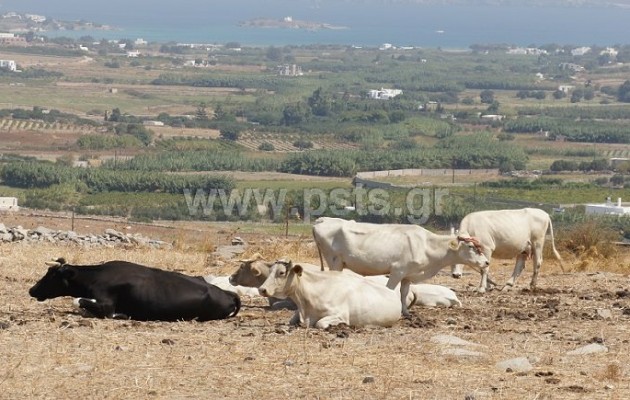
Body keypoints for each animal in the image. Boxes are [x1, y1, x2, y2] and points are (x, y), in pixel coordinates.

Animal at [258, 260, 402, 328]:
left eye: (281, 272)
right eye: (270, 271)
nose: (262, 289)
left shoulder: (340, 314)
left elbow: (320, 323)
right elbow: (291, 320)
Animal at [314, 217, 492, 318]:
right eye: (471, 246)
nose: (486, 263)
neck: (427, 246)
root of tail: (322, 220)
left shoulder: (408, 275)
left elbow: (404, 293)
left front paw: (406, 312)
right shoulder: (397, 271)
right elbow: (390, 291)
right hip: (335, 261)